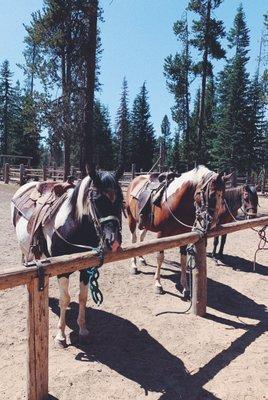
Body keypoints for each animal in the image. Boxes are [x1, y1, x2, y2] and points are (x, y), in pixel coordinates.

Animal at [10, 167, 123, 346]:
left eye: (121, 200)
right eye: (96, 200)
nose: (114, 242)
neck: (75, 225)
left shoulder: (86, 268)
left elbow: (83, 297)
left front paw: (83, 330)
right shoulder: (63, 271)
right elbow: (65, 299)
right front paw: (61, 335)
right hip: (25, 247)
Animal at [125, 166, 228, 296]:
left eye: (223, 195)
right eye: (212, 194)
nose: (214, 221)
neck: (176, 202)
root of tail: (134, 180)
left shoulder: (184, 235)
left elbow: (183, 259)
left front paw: (185, 287)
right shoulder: (161, 234)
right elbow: (160, 257)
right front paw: (158, 284)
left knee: (141, 238)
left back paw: (142, 259)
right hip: (131, 218)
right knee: (134, 240)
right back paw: (134, 266)